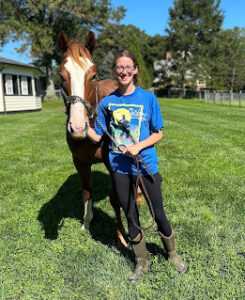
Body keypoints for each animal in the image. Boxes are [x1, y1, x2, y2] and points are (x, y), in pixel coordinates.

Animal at [57, 29, 142, 246]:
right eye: (61, 76)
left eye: (93, 75)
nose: (78, 127)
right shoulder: (80, 162)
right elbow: (87, 192)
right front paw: (87, 222)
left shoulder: (111, 163)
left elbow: (115, 198)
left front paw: (121, 233)